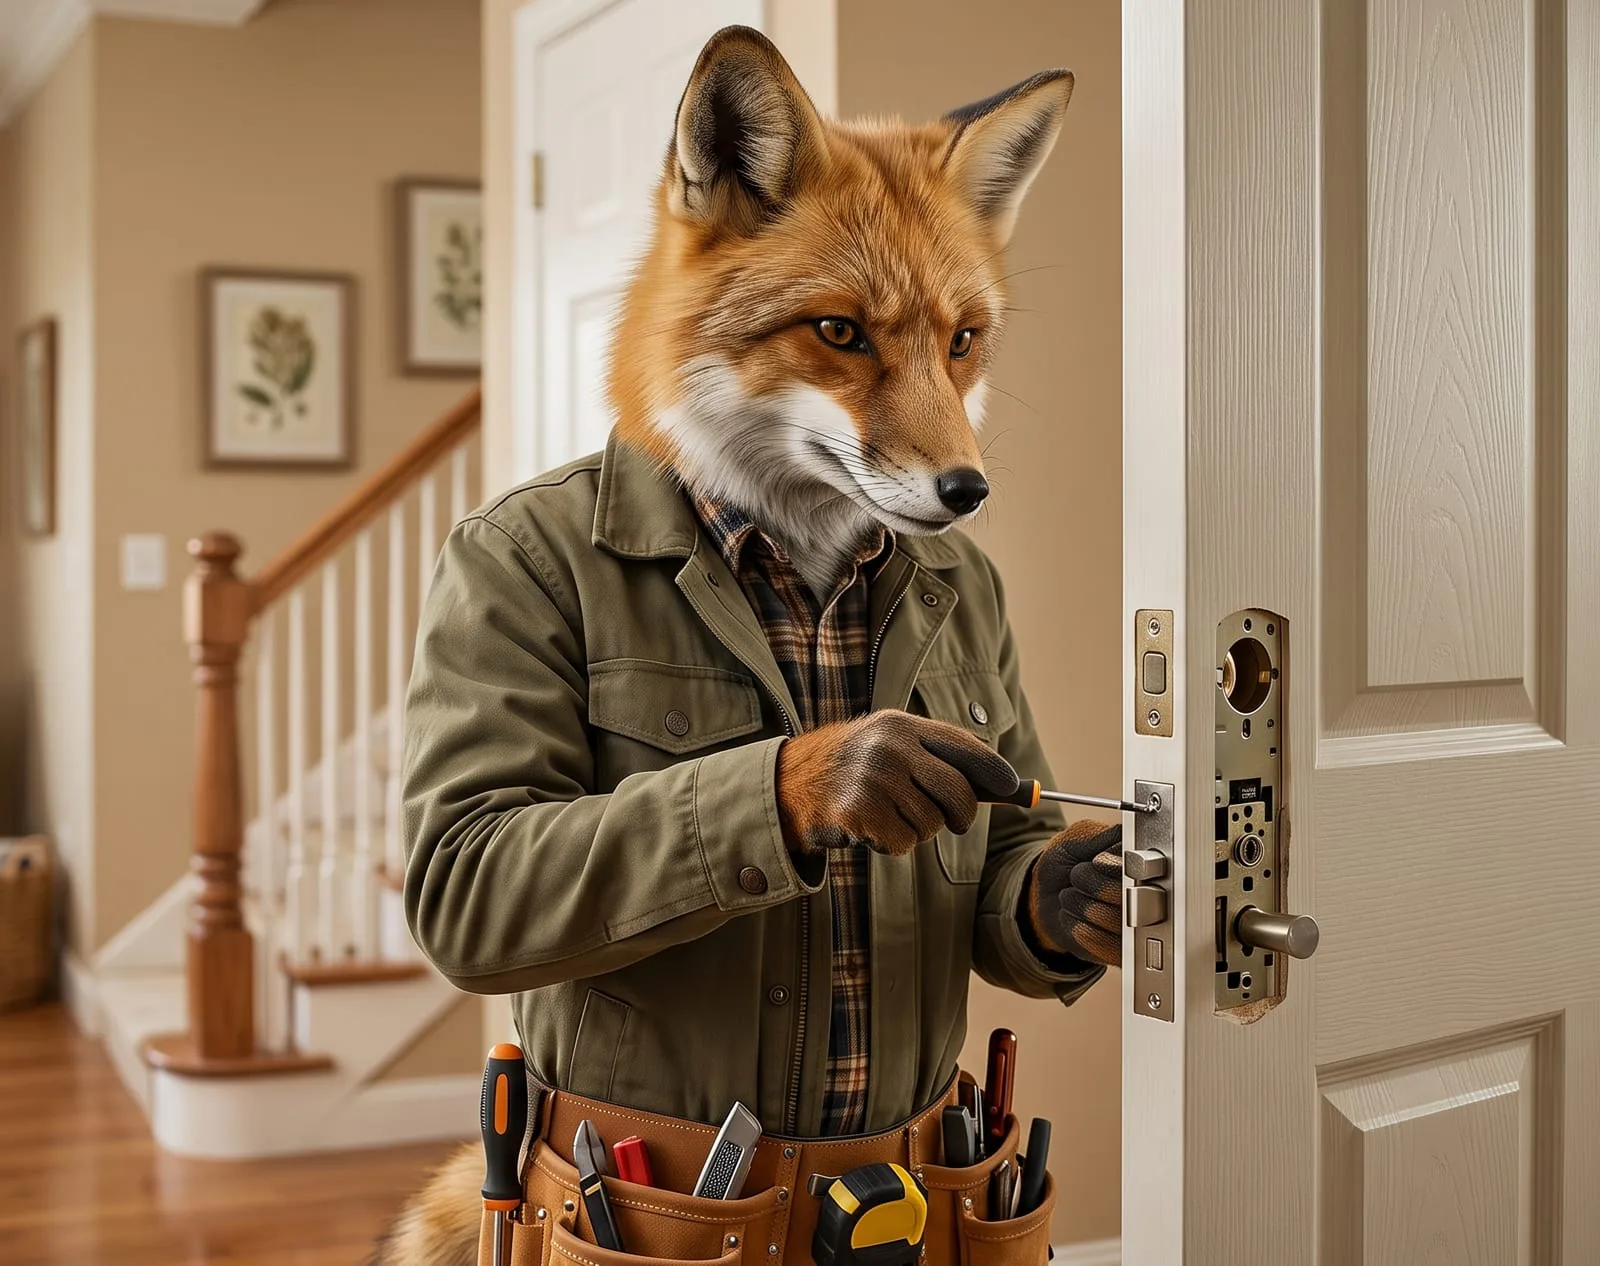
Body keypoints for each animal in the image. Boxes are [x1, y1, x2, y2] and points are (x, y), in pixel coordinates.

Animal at [372, 24, 1074, 1266]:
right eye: (839, 333)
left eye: (962, 343)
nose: (968, 491)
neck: (804, 564)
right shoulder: (468, 846)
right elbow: (473, 846)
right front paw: (845, 770)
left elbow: (1017, 855)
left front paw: (1084, 888)